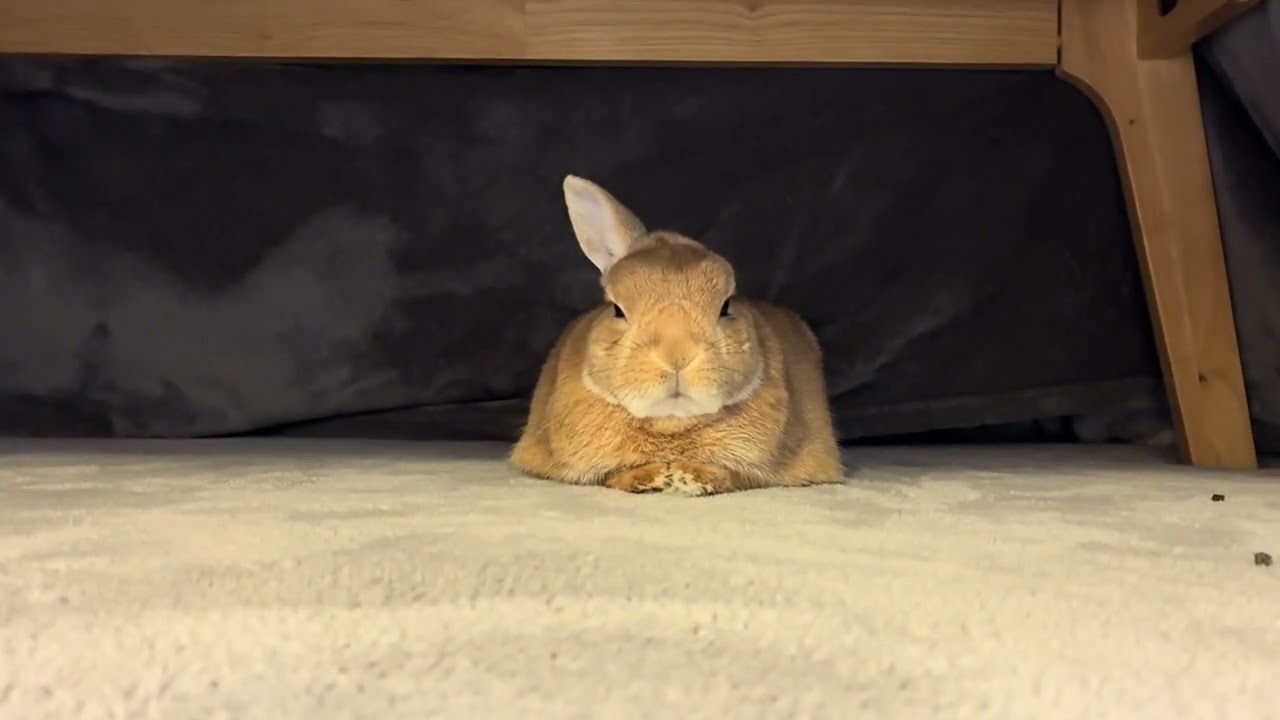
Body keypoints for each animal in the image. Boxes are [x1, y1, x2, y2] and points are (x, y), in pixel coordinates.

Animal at [509, 175, 844, 496]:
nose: (677, 355)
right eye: (617, 310)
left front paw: (691, 477)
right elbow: (612, 476)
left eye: (726, 306)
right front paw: (650, 477)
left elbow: (733, 475)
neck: (670, 423)